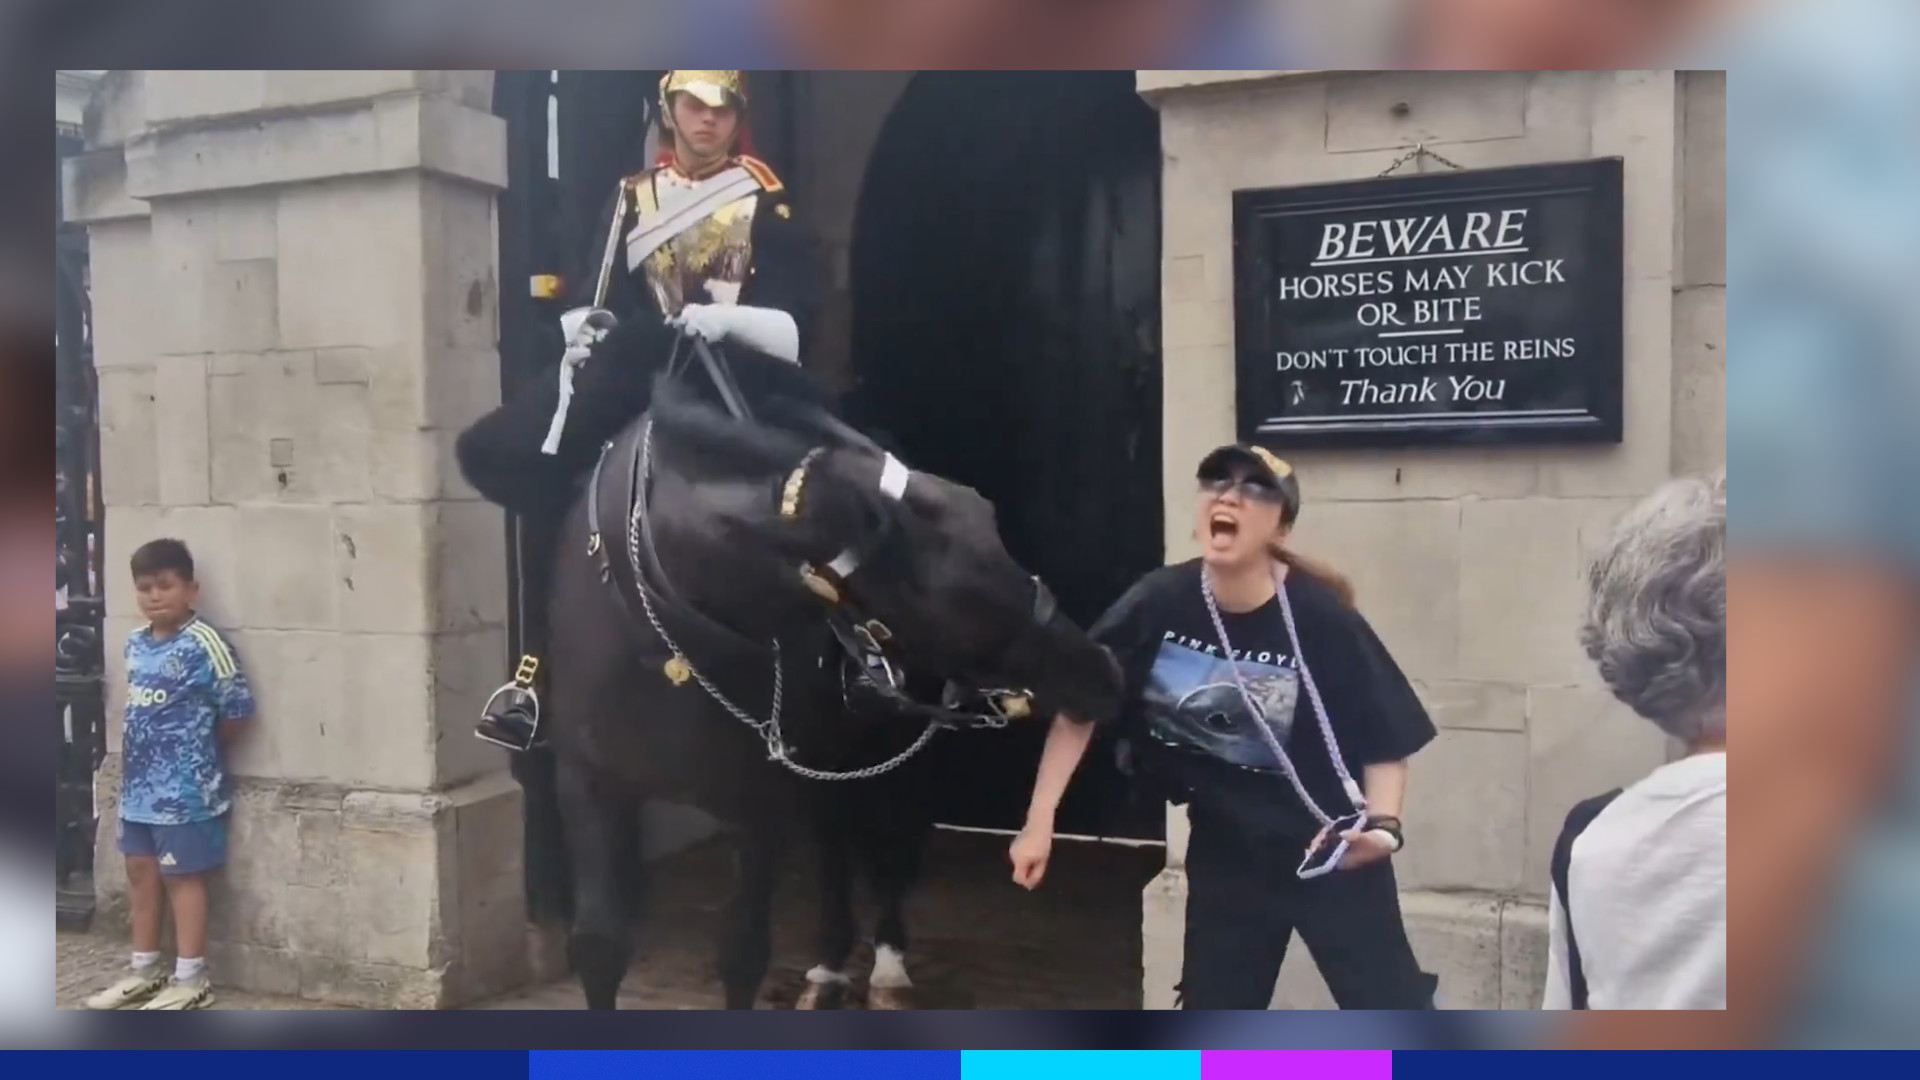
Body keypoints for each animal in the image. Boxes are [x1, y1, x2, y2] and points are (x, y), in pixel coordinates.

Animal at [518, 372, 1121, 1006]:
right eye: (960, 592)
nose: (1103, 671)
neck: (666, 640)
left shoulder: (755, 804)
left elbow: (743, 953)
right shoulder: (589, 783)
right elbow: (599, 946)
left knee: (891, 844)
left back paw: (885, 965)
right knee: (835, 845)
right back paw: (830, 963)